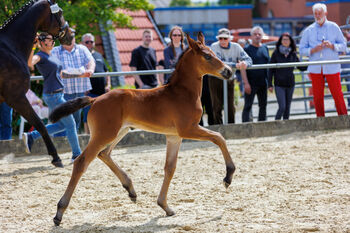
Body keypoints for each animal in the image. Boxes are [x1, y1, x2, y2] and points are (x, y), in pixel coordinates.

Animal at [0, 0, 73, 167]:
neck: (10, 47)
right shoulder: (16, 97)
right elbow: (40, 124)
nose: (70, 35)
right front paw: (56, 157)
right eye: (60, 12)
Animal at [50, 32, 235, 226]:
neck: (182, 93)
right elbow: (219, 137)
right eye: (207, 56)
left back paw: (131, 190)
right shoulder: (188, 129)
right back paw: (59, 212)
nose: (228, 71)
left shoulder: (174, 136)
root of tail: (95, 99)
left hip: (119, 132)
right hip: (104, 134)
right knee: (81, 162)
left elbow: (170, 168)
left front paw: (165, 206)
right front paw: (228, 177)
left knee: (104, 154)